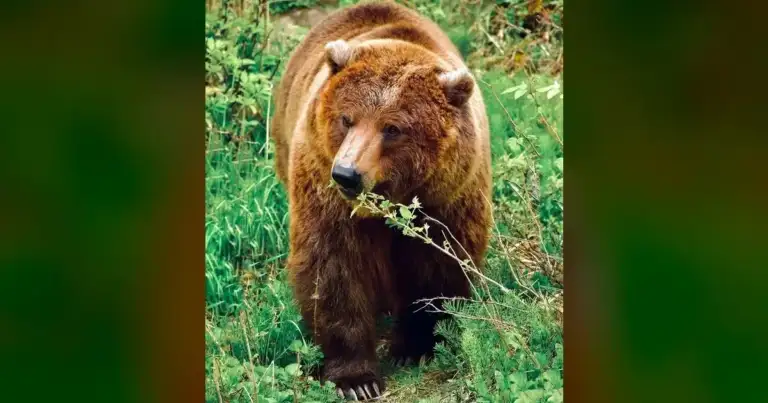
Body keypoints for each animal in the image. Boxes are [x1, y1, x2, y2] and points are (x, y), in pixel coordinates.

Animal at [271, 1, 491, 400]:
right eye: (346, 118)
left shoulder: (446, 198)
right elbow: (334, 268)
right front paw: (356, 379)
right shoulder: (324, 190)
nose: (346, 173)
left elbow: (436, 266)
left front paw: (416, 347)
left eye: (393, 128)